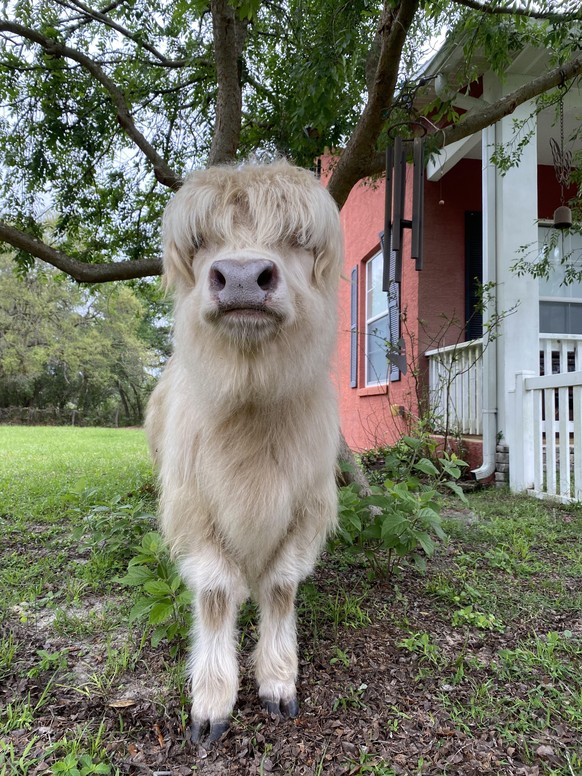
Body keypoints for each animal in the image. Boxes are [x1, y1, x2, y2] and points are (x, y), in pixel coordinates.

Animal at [146, 162, 344, 744]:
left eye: (297, 237)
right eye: (201, 241)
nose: (240, 276)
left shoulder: (307, 508)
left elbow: (280, 588)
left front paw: (278, 680)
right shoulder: (192, 511)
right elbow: (215, 595)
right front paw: (212, 701)